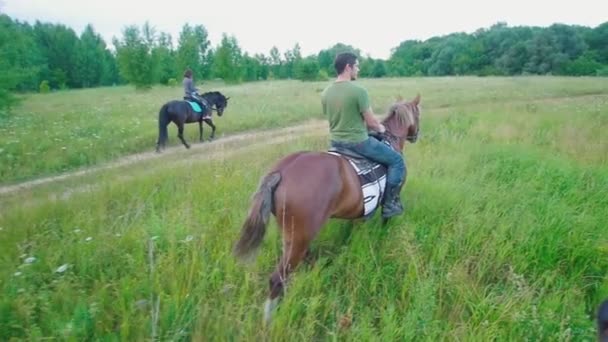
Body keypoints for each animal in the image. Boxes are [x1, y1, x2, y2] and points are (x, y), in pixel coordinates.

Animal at [234, 93, 422, 320]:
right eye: (418, 113)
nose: (416, 135)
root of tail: (281, 172)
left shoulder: (360, 214)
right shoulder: (393, 194)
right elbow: (387, 216)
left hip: (292, 234)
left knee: (304, 259)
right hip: (300, 237)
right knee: (278, 279)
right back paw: (269, 320)